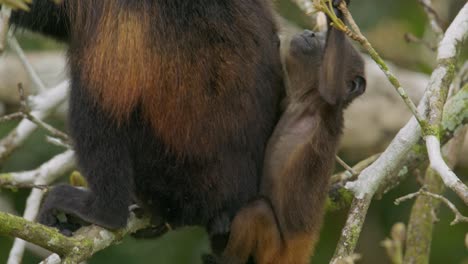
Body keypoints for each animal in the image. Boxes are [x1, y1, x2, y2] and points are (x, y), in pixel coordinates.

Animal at [214, 1, 368, 262]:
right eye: (318, 36)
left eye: (323, 41)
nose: (311, 34)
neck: (303, 102)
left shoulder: (328, 109)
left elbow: (331, 87)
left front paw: (337, 13)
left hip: (273, 250)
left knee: (258, 211)